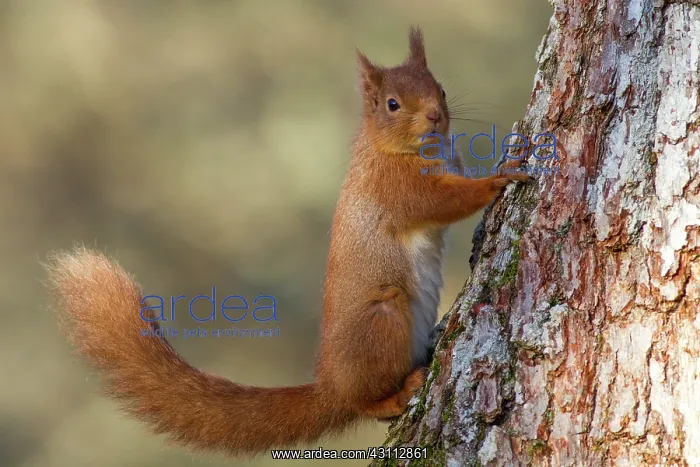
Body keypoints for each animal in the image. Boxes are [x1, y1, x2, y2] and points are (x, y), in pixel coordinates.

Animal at [45, 26, 528, 457]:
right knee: (368, 404)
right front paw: (498, 179)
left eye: (440, 89)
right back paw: (396, 392)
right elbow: (442, 201)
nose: (435, 117)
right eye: (392, 104)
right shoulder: (394, 188)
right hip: (383, 320)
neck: (404, 149)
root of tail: (331, 387)